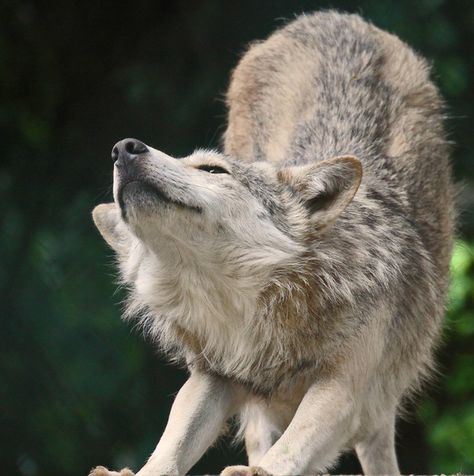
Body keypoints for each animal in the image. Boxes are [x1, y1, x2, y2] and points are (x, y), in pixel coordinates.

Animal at [89, 10, 456, 476]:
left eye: (213, 170)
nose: (123, 147)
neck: (247, 309)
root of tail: (333, 16)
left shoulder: (343, 387)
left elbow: (291, 448)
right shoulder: (212, 377)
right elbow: (170, 449)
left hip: (378, 406)